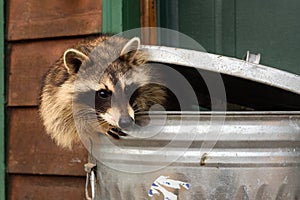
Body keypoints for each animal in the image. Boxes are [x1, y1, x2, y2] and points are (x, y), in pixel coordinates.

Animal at [38, 35, 168, 148]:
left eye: (127, 89)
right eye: (103, 94)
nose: (126, 122)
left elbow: (153, 92)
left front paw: (141, 103)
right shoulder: (56, 98)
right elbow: (66, 119)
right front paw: (99, 124)